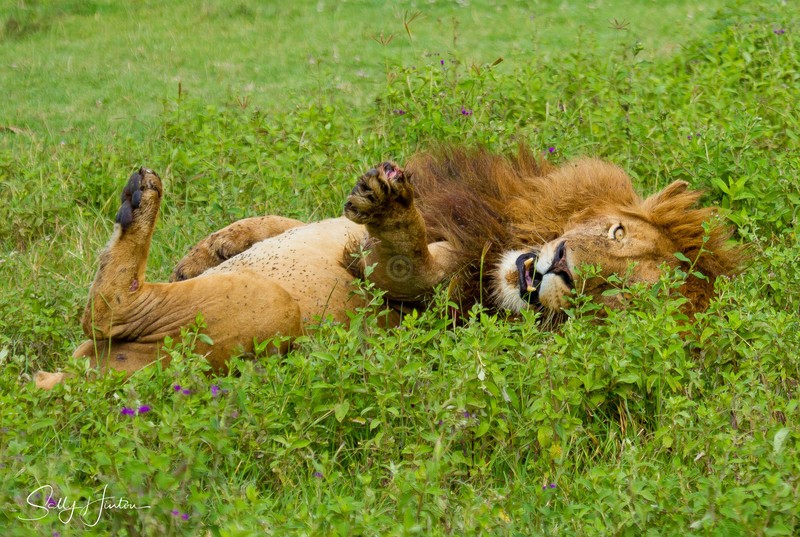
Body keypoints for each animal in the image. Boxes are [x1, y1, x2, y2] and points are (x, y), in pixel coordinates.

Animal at [34, 146, 741, 389]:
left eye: (612, 304)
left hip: (263, 313)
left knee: (109, 310)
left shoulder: (439, 295)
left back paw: (139, 205)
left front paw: (393, 215)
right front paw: (206, 251)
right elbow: (279, 222)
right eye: (616, 232)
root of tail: (80, 385)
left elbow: (411, 269)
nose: (561, 267)